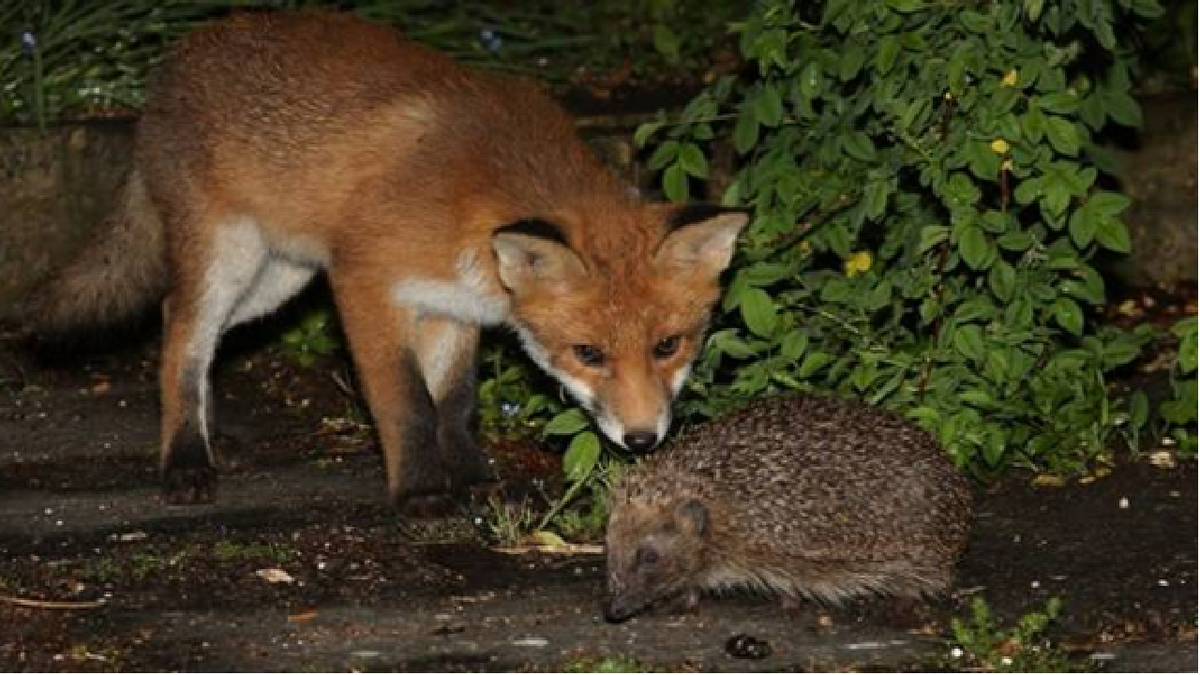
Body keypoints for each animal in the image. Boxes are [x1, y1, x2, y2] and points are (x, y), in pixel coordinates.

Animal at [28, 11, 744, 504]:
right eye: (588, 353)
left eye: (668, 346)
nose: (643, 439)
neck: (473, 198)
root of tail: (177, 57)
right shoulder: (366, 282)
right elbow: (407, 403)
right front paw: (423, 490)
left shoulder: (454, 307)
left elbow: (454, 404)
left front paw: (473, 477)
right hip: (230, 256)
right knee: (180, 335)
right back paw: (184, 459)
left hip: (279, 278)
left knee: (191, 329)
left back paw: (211, 433)